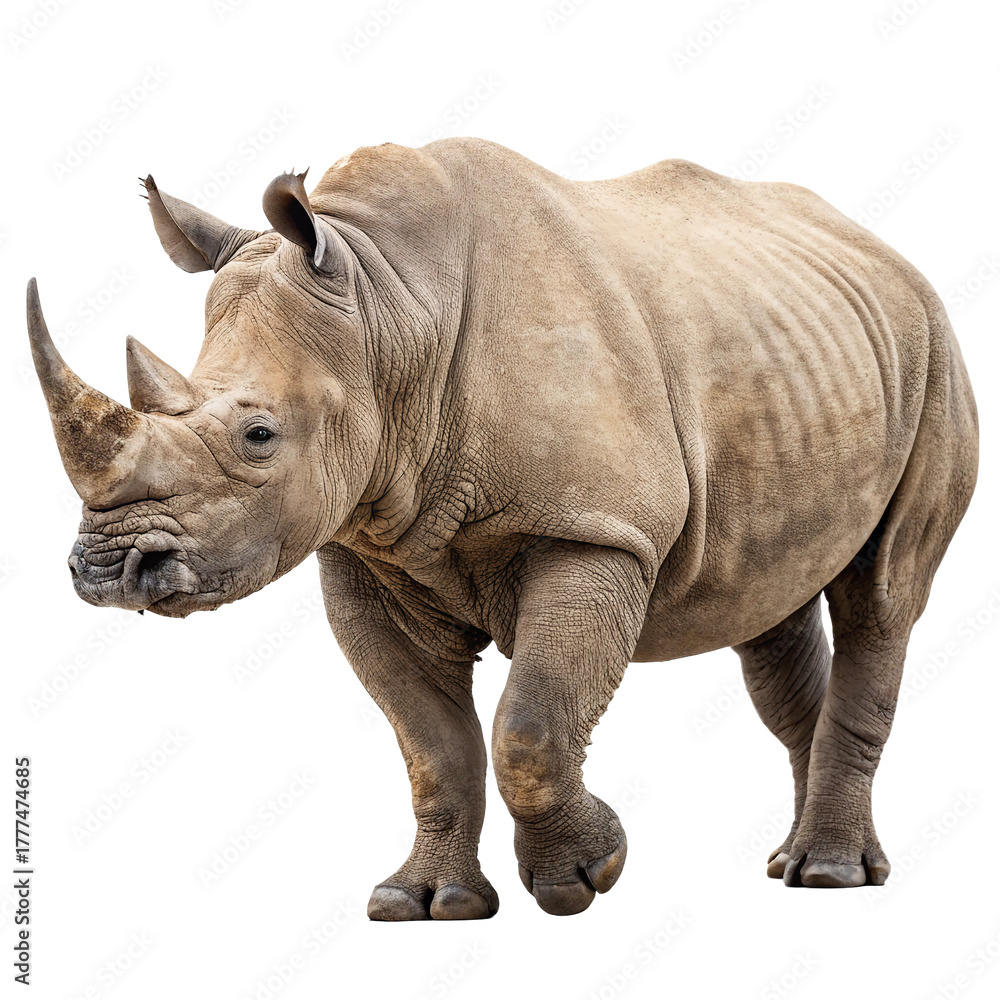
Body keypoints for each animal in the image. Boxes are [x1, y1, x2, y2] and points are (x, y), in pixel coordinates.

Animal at [28, 138, 977, 919]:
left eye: (258, 436)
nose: (109, 571)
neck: (388, 308)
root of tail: (882, 249)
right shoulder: (364, 549)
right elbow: (430, 747)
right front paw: (425, 904)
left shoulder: (595, 528)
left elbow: (532, 724)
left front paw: (585, 875)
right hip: (800, 354)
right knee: (767, 612)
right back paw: (795, 863)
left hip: (934, 353)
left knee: (883, 595)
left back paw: (830, 877)